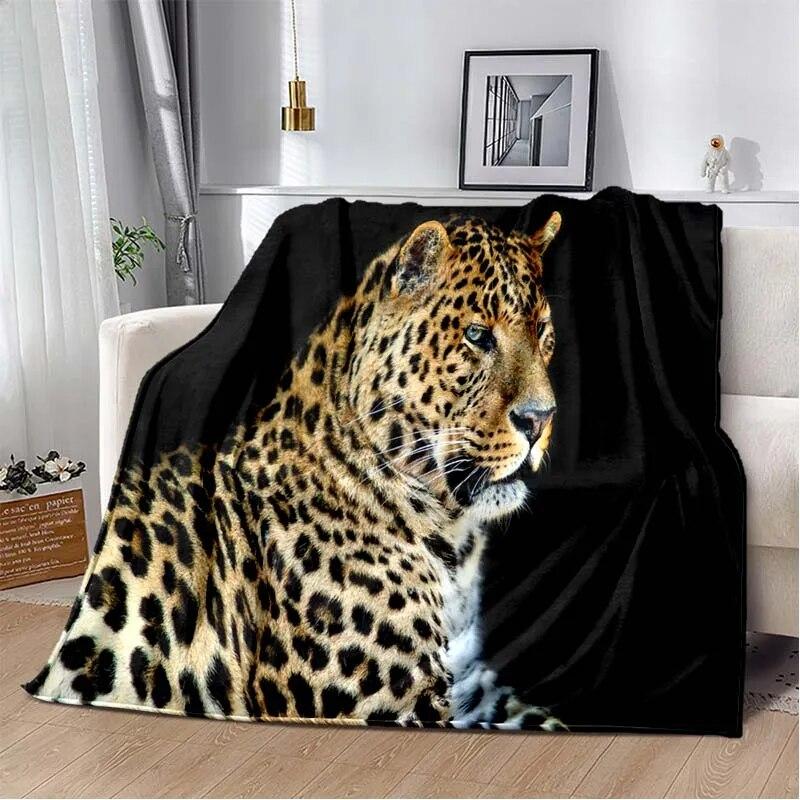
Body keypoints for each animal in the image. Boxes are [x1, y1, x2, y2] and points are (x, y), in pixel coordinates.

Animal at [26, 211, 565, 731]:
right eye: (477, 335)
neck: (450, 534)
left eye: (541, 330)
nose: (540, 419)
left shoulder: (470, 679)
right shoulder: (392, 694)